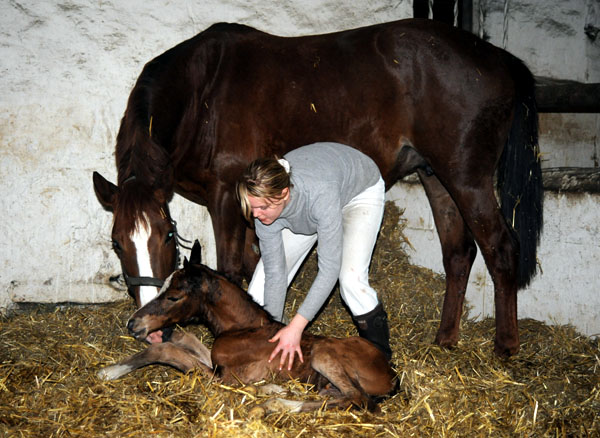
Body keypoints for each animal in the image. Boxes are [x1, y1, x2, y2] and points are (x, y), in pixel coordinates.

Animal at [99, 241, 396, 412]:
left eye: (173, 296)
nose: (133, 323)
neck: (242, 329)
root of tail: (393, 377)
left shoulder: (222, 378)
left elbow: (167, 351)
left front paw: (110, 371)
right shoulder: (216, 363)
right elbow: (186, 339)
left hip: (323, 355)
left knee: (360, 400)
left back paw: (273, 403)